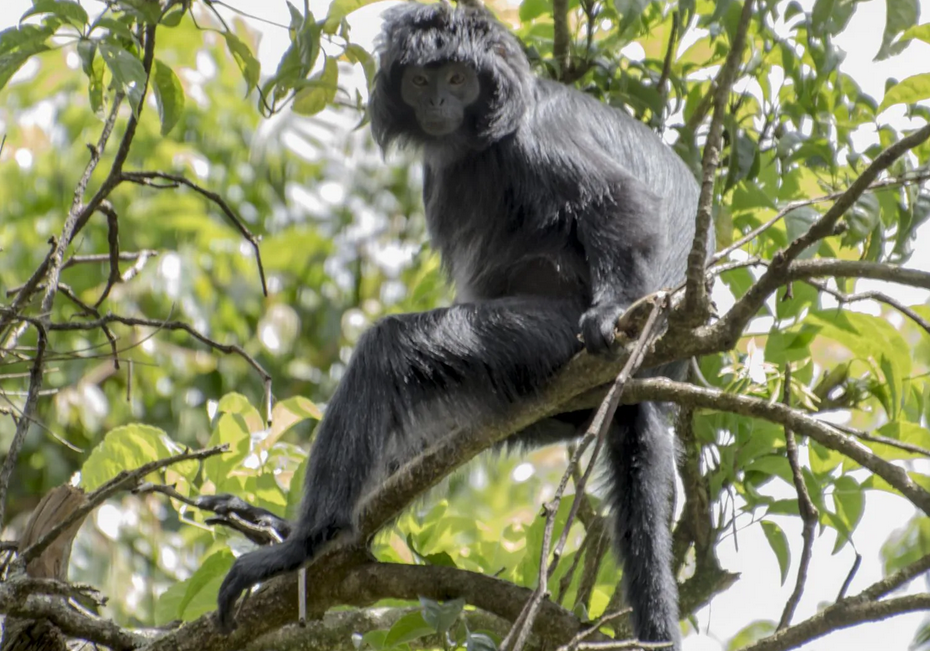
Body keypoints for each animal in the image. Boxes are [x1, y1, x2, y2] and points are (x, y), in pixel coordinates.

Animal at [216, 3, 704, 648]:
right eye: (421, 81)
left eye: (457, 78)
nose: (439, 102)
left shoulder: (535, 136)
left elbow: (619, 200)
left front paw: (607, 309)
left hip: (548, 339)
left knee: (389, 350)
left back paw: (304, 543)